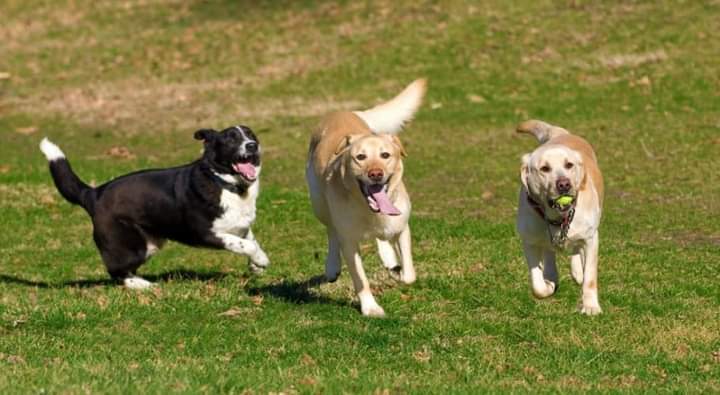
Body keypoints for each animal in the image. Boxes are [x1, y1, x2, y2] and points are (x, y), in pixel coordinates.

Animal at [39, 125, 270, 290]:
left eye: (251, 135)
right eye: (231, 138)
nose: (252, 145)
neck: (226, 184)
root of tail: (94, 194)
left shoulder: (241, 226)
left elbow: (250, 240)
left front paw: (255, 266)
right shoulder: (207, 233)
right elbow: (246, 245)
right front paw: (261, 260)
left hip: (149, 244)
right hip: (132, 247)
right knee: (116, 271)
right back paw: (142, 285)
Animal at [306, 79, 424, 318]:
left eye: (385, 155)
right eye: (360, 157)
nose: (375, 174)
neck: (369, 211)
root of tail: (342, 112)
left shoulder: (402, 227)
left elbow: (409, 275)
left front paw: (397, 270)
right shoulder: (349, 242)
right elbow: (361, 280)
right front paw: (371, 308)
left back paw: (390, 260)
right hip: (319, 204)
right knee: (331, 230)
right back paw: (332, 266)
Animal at [516, 120, 604, 316]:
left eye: (569, 165)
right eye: (544, 169)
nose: (564, 184)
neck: (558, 217)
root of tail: (560, 134)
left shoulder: (591, 238)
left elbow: (590, 276)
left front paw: (590, 306)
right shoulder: (529, 241)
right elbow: (538, 286)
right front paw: (548, 285)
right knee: (550, 253)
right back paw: (552, 275)